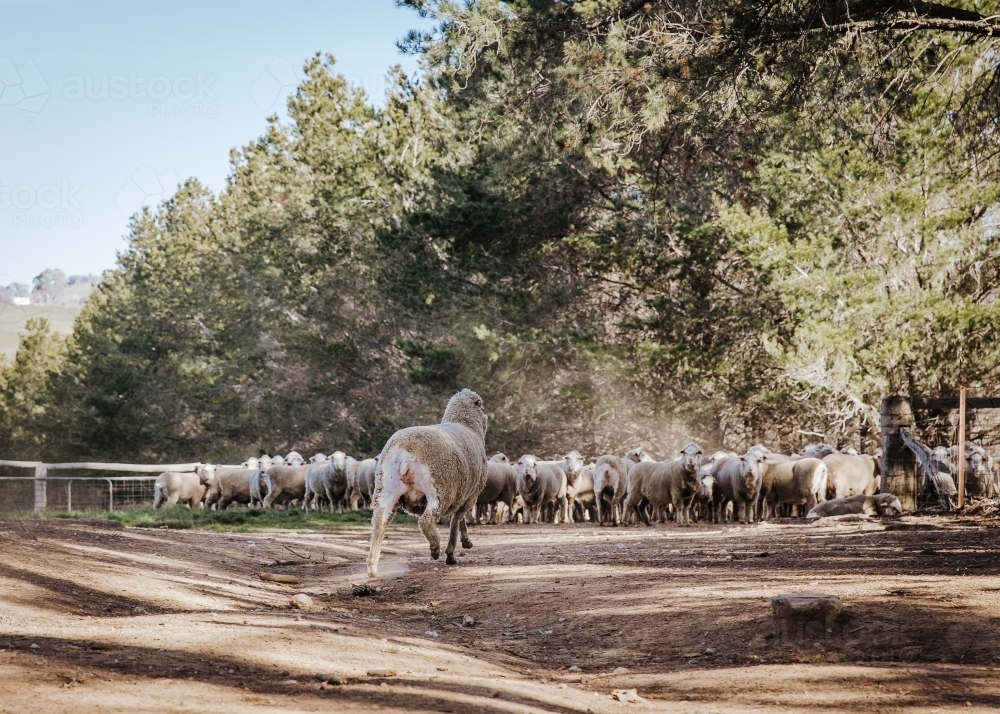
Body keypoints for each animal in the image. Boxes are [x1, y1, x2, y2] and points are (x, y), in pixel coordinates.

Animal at [370, 386, 490, 576]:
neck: (466, 425)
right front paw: (451, 554)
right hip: (440, 489)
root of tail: (406, 452)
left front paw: (465, 542)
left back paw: (372, 565)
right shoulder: (471, 494)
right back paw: (435, 547)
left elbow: (459, 520)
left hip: (386, 488)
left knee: (379, 523)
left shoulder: (463, 493)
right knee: (425, 521)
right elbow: (456, 521)